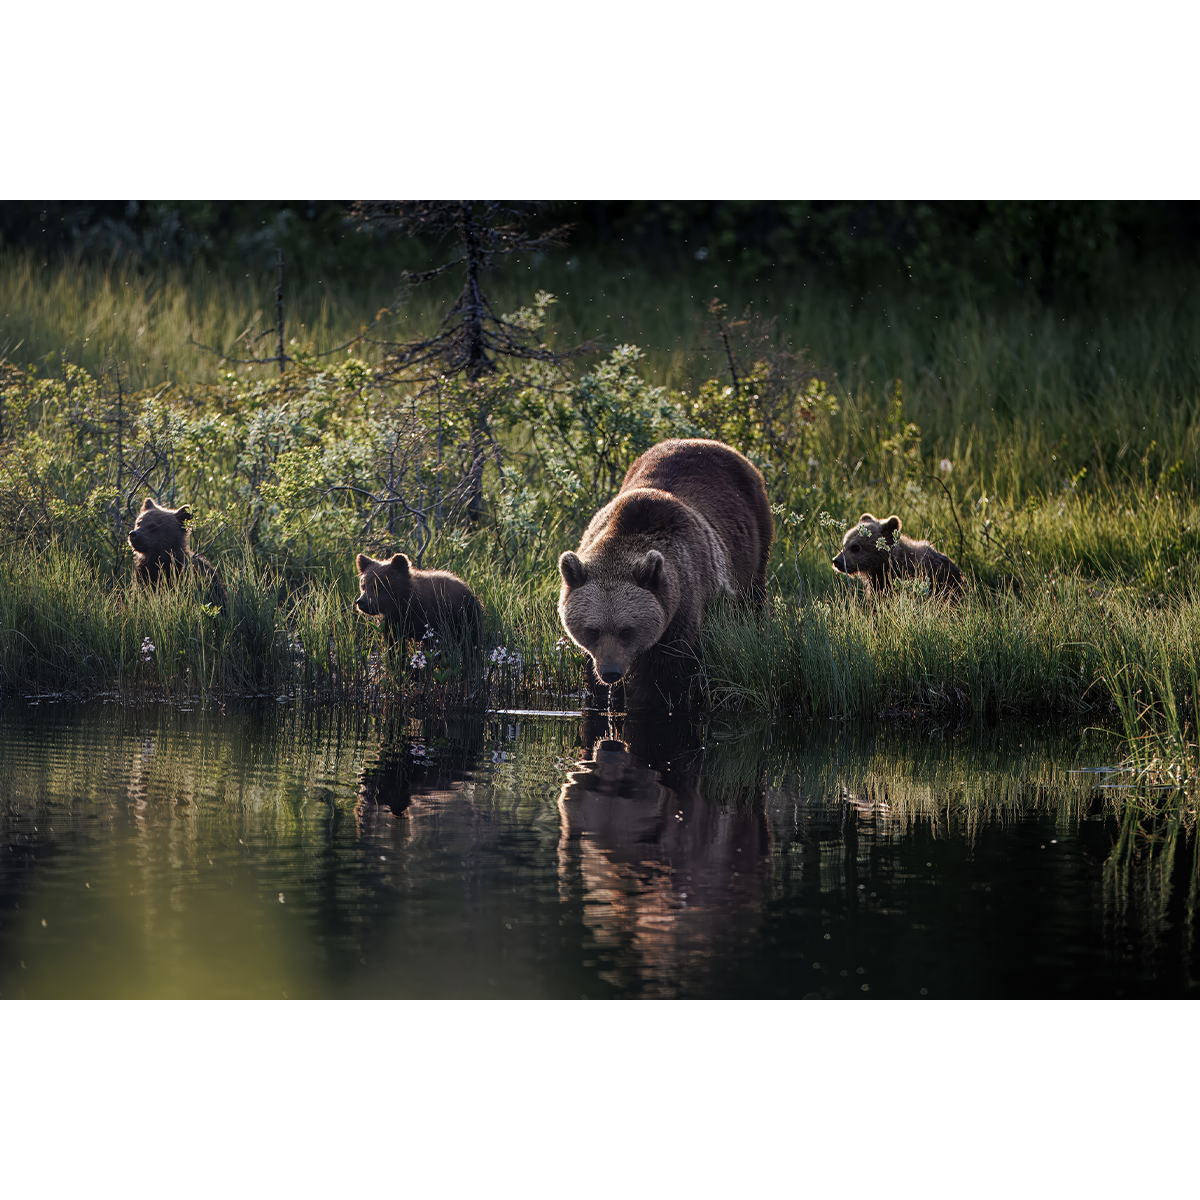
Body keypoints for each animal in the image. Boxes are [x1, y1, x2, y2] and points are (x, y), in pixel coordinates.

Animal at [354, 552, 483, 648]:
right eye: (363, 586)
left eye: (378, 586)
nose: (361, 602)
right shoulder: (393, 624)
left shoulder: (429, 618)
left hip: (464, 617)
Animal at [557, 438, 774, 710]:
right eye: (593, 630)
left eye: (626, 630)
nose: (611, 672)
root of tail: (710, 442)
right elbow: (591, 670)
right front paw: (604, 694)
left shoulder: (682, 608)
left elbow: (662, 676)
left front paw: (648, 699)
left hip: (754, 541)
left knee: (751, 599)